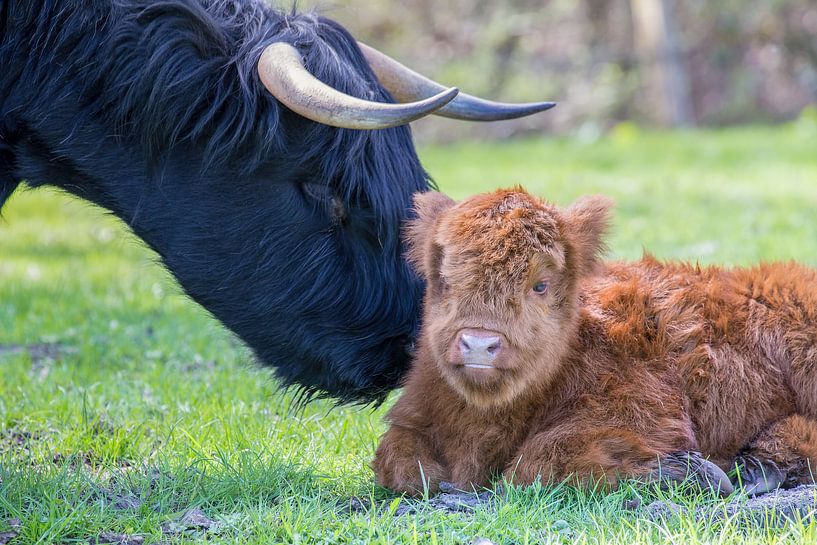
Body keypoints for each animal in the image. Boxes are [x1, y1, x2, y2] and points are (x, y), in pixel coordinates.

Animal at [372, 188, 817, 497]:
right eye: (445, 280)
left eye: (540, 284)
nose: (479, 344)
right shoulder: (415, 419)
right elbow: (402, 466)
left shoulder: (642, 410)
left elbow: (536, 462)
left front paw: (689, 472)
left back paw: (757, 468)